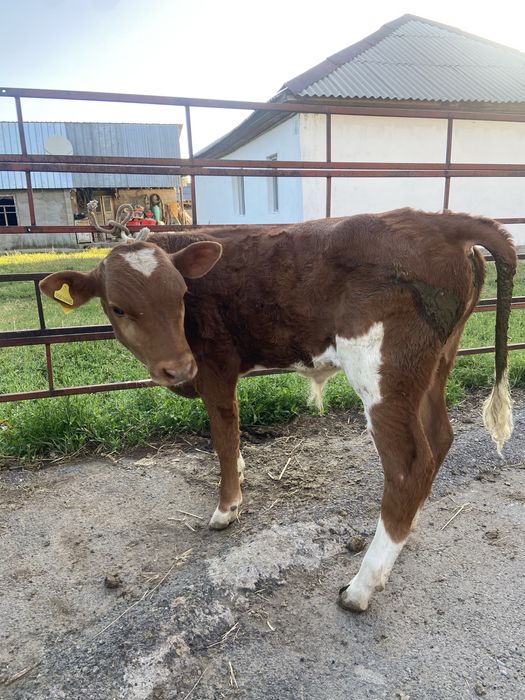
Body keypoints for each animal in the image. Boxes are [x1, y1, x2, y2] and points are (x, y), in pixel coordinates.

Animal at [40, 208, 517, 611]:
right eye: (118, 307)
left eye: (181, 296)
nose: (177, 368)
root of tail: (435, 219)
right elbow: (229, 440)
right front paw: (241, 471)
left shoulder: (214, 366)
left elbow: (223, 434)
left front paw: (227, 507)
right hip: (436, 365)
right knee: (440, 438)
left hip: (385, 373)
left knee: (408, 465)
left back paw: (361, 587)